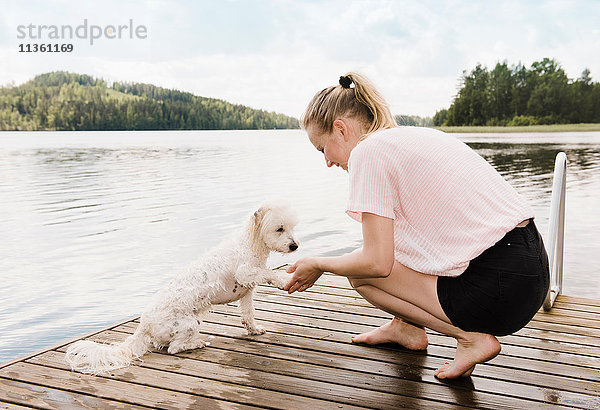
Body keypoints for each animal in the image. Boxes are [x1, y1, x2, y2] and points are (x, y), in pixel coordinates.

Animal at [65, 202, 298, 374]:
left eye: (292, 227)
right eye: (279, 228)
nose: (295, 246)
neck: (250, 243)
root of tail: (144, 324)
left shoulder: (247, 291)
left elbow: (248, 314)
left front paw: (254, 329)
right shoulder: (246, 273)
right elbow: (269, 273)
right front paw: (281, 280)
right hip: (189, 323)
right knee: (174, 348)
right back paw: (196, 343)